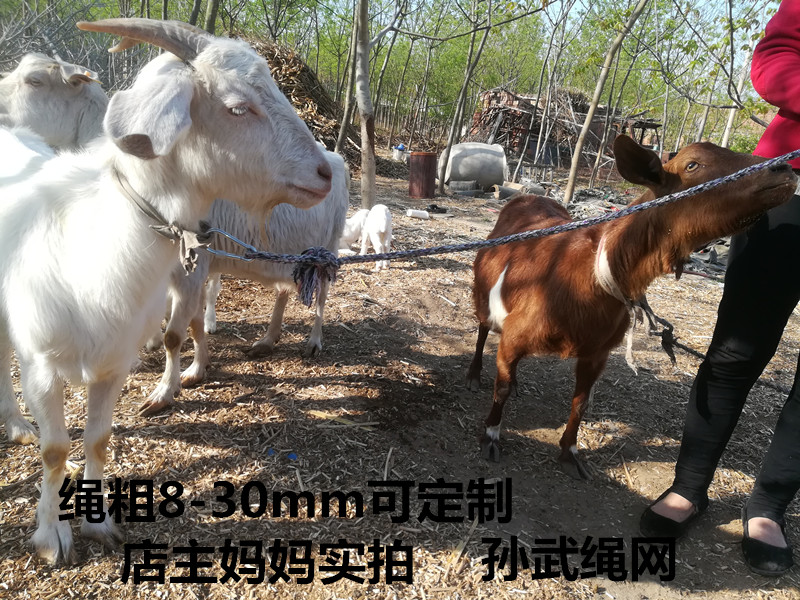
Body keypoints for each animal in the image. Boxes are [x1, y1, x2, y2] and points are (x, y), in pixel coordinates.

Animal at [142, 149, 348, 415]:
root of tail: (336, 158)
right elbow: (195, 323)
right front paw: (197, 369)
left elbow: (174, 335)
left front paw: (163, 392)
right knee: (283, 291)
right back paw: (267, 340)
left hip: (327, 252)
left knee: (322, 296)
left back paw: (314, 342)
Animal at [467, 135, 797, 480]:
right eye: (692, 164)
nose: (785, 168)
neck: (592, 272)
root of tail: (527, 197)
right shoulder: (515, 335)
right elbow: (501, 389)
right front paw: (490, 436)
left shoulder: (597, 352)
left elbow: (580, 403)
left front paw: (570, 452)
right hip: (483, 294)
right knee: (482, 330)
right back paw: (474, 375)